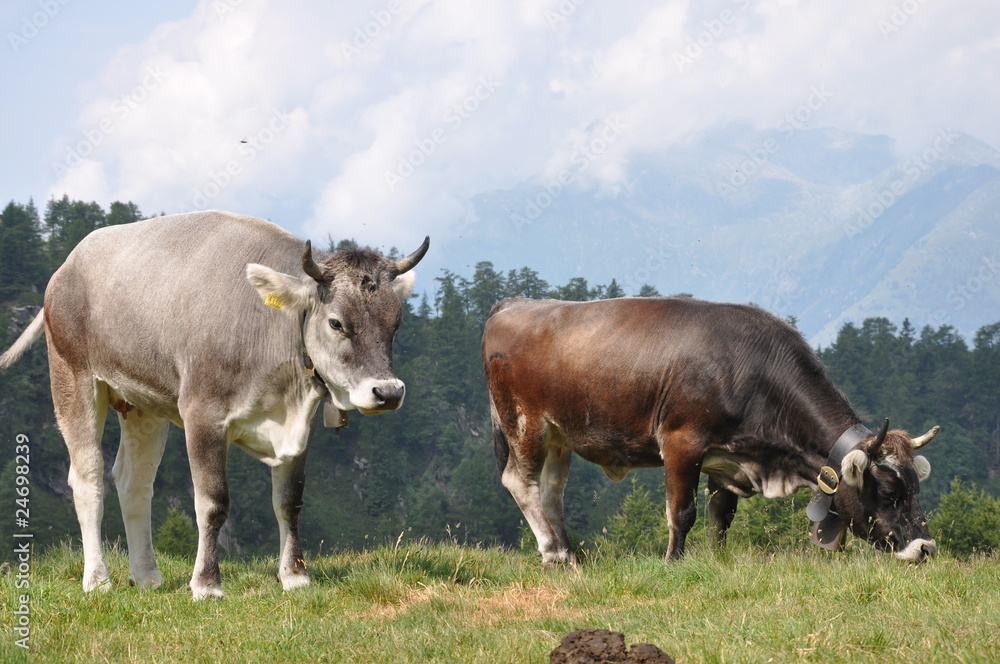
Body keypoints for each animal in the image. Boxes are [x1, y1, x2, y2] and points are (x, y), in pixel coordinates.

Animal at [0, 210, 426, 600]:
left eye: (396, 323)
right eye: (337, 323)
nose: (388, 392)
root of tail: (68, 266)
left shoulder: (298, 428)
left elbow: (289, 501)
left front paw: (295, 577)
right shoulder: (202, 416)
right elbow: (212, 502)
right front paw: (206, 584)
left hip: (142, 402)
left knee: (133, 481)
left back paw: (147, 577)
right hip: (73, 375)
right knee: (88, 476)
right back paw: (98, 580)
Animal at [482, 298, 936, 564]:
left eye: (917, 487)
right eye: (890, 492)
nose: (925, 548)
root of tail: (514, 304)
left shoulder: (728, 462)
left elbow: (721, 517)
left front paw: (718, 561)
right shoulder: (682, 443)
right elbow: (683, 512)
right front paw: (673, 562)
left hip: (559, 436)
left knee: (550, 491)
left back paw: (570, 554)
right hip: (524, 423)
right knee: (519, 482)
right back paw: (554, 553)